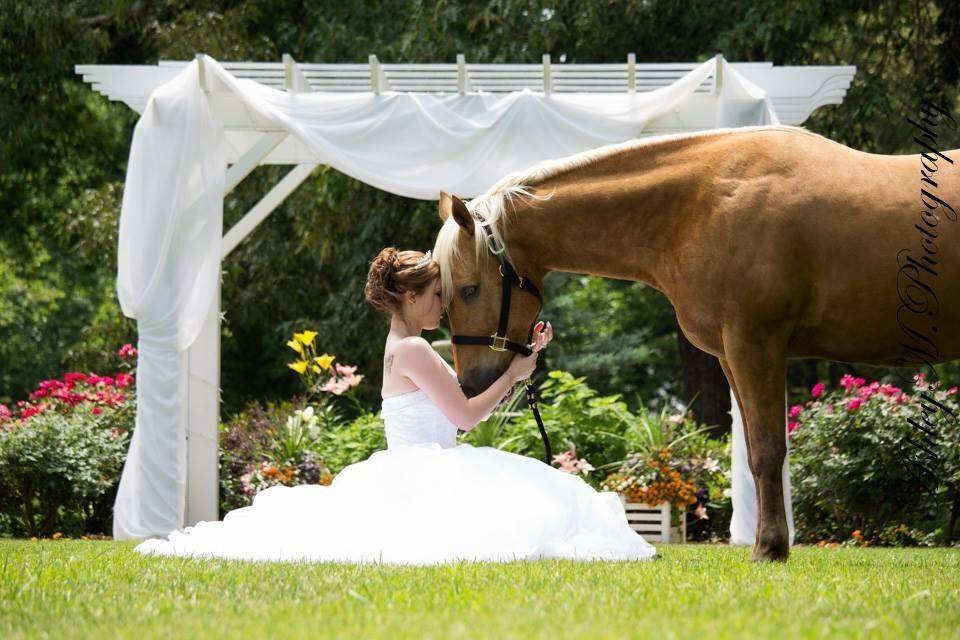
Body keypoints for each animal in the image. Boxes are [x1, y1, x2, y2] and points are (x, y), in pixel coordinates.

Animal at [436, 121, 960, 560]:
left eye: (469, 289)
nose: (470, 384)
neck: (703, 204)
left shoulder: (756, 346)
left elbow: (767, 450)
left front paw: (769, 548)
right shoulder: (731, 355)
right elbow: (753, 452)